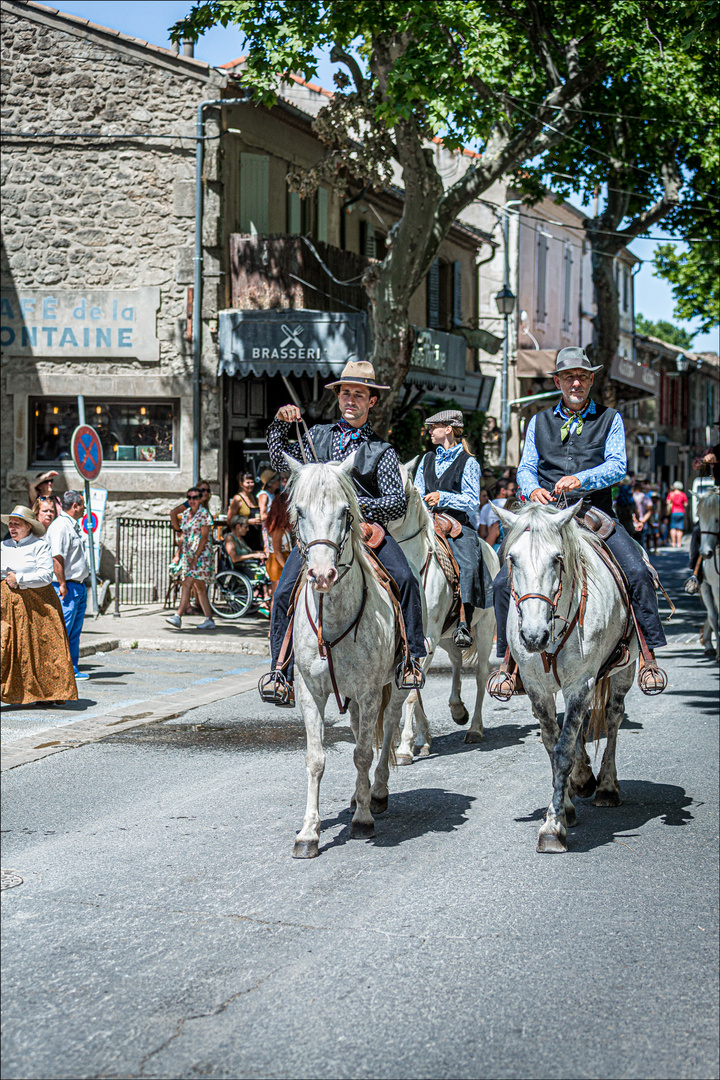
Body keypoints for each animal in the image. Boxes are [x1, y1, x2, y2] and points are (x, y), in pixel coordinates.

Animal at [287, 455, 410, 859]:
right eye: (299, 510)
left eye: (345, 511)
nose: (322, 575)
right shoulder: (310, 692)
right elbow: (316, 758)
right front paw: (308, 833)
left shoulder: (371, 691)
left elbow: (362, 754)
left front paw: (362, 819)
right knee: (360, 731)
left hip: (396, 685)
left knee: (387, 728)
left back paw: (377, 793)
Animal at [388, 464, 500, 760]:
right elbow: (412, 688)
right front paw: (421, 739)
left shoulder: (426, 638)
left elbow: (411, 693)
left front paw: (405, 746)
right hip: (448, 636)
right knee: (457, 662)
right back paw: (457, 709)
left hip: (485, 629)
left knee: (481, 675)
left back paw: (474, 728)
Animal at [492, 501, 639, 855]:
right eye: (512, 559)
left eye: (557, 558)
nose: (533, 636)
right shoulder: (538, 688)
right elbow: (552, 743)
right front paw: (566, 806)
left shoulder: (581, 683)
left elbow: (562, 752)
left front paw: (552, 827)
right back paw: (583, 778)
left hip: (624, 670)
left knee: (613, 717)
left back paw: (607, 787)